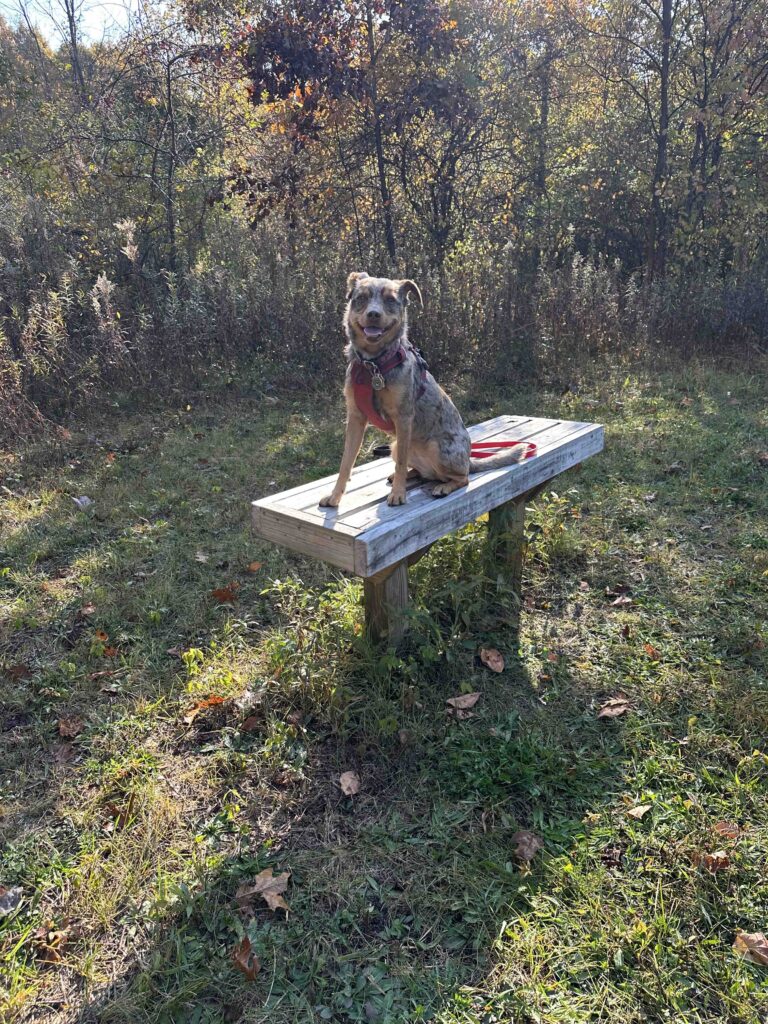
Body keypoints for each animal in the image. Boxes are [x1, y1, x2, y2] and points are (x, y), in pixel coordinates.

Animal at [319, 274, 528, 509]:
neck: (373, 365)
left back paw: (443, 486)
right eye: (361, 297)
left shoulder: (403, 418)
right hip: (394, 445)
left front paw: (398, 494)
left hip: (437, 447)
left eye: (390, 299)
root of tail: (468, 460)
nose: (373, 314)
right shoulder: (355, 418)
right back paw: (408, 475)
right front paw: (335, 496)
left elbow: (401, 462)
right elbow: (346, 463)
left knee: (462, 478)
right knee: (422, 472)